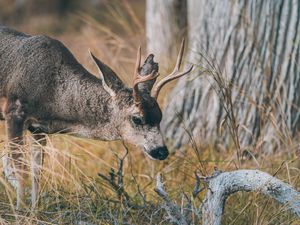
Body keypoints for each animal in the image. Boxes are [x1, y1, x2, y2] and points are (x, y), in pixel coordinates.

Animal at [0, 25, 192, 209]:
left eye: (160, 116)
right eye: (137, 118)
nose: (161, 151)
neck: (53, 94)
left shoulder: (38, 127)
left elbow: (37, 170)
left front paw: (35, 210)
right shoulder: (14, 110)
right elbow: (17, 166)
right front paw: (20, 211)